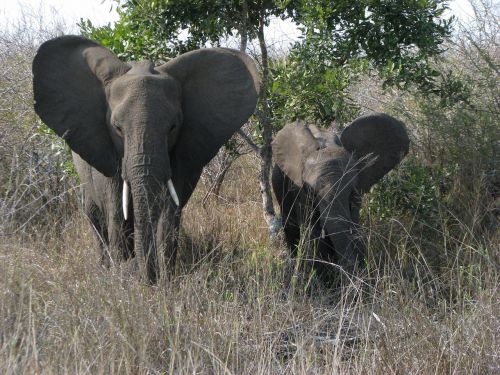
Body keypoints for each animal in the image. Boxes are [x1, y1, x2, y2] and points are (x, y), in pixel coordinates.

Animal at [34, 36, 262, 284]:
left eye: (173, 127)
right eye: (117, 128)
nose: (147, 280)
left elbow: (169, 215)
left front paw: (166, 280)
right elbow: (117, 214)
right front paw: (124, 279)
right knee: (96, 217)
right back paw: (105, 268)